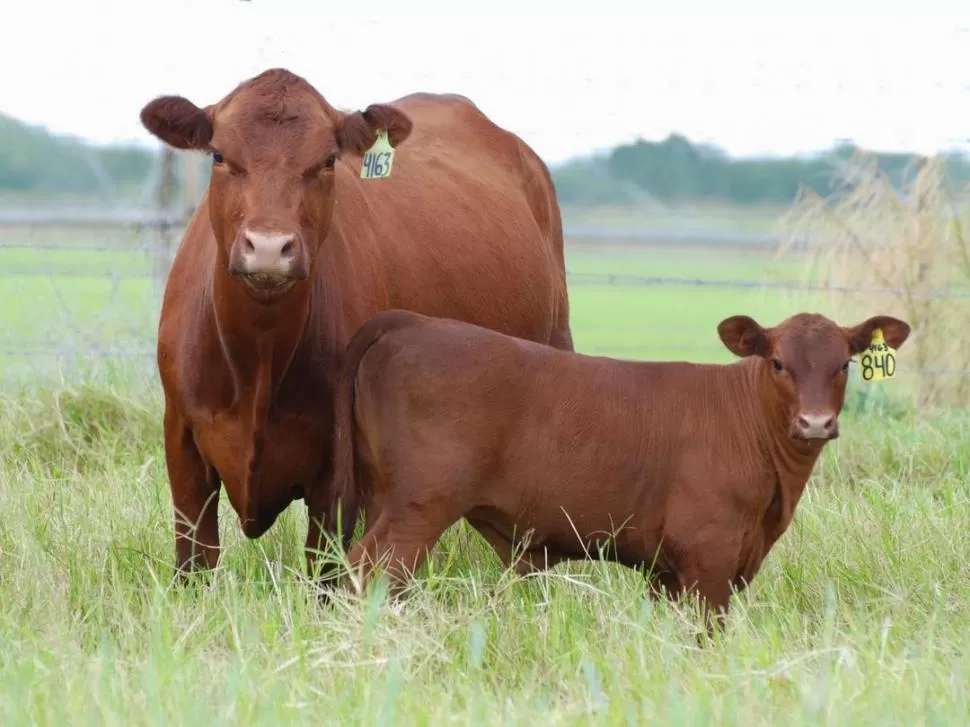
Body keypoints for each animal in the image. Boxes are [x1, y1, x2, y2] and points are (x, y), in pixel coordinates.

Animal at [330, 308, 908, 624]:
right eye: (778, 363)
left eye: (844, 364)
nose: (815, 424)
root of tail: (414, 322)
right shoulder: (710, 559)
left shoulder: (667, 570)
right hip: (418, 511)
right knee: (368, 570)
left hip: (385, 500)